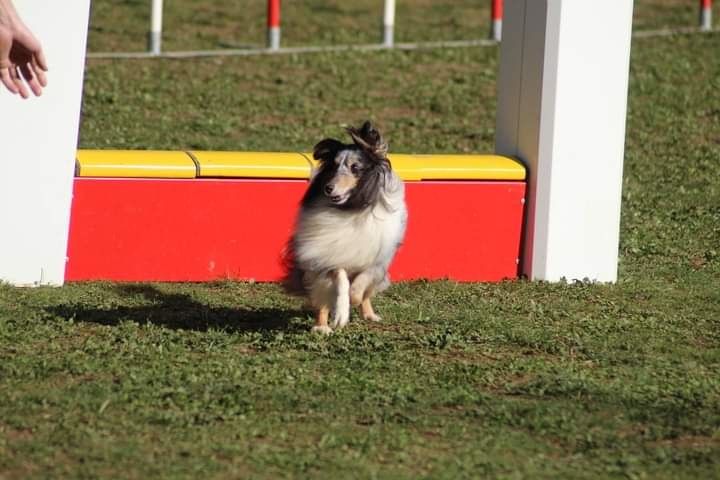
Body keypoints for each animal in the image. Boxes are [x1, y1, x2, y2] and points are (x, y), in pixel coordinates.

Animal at [284, 120, 408, 334]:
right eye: (333, 166)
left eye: (355, 167)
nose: (328, 188)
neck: (352, 208)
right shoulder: (329, 255)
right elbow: (341, 280)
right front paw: (341, 313)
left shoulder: (378, 257)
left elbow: (361, 283)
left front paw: (355, 299)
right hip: (315, 273)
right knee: (321, 300)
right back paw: (322, 327)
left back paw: (370, 315)